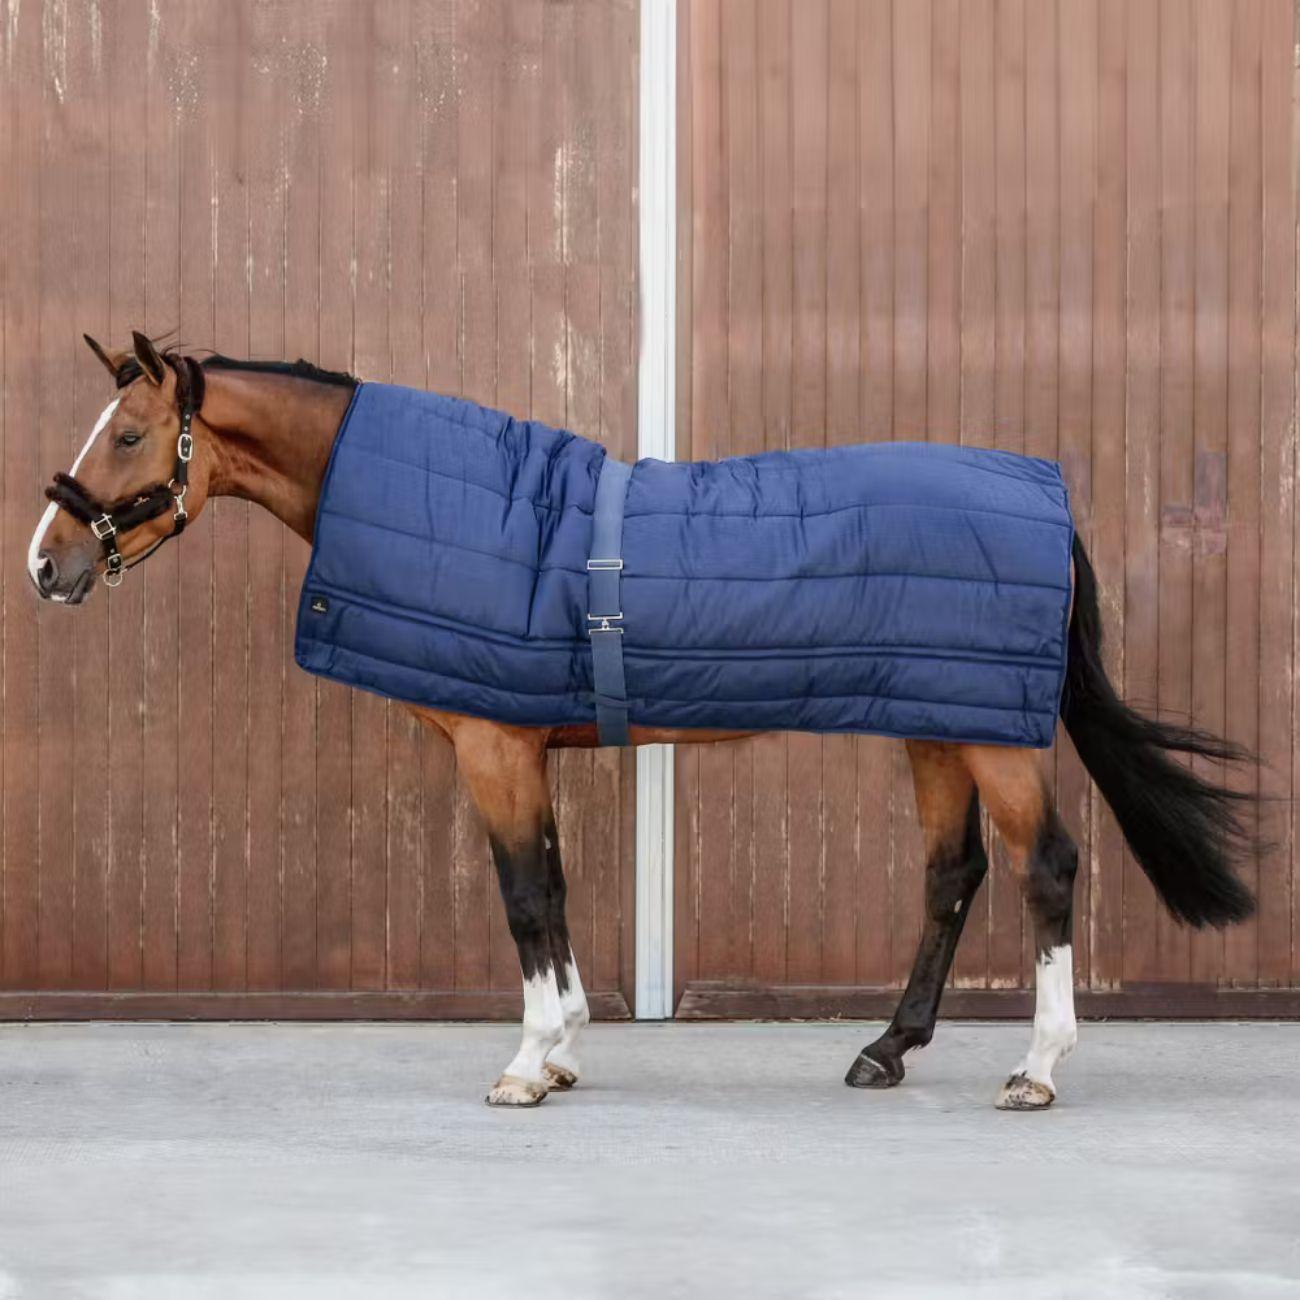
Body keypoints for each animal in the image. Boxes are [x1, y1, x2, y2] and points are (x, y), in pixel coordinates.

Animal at [29, 331, 1256, 1111]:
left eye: (129, 437)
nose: (48, 563)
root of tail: (1040, 491)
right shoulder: (525, 745)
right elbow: (557, 889)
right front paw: (565, 1048)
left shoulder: (495, 748)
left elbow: (526, 896)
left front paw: (526, 1065)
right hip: (936, 722)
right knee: (952, 874)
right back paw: (886, 1050)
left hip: (994, 738)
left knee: (1046, 868)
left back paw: (1037, 1069)